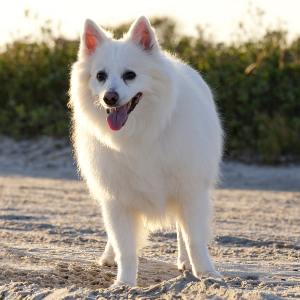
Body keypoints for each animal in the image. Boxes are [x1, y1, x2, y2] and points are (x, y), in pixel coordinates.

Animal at [69, 15, 223, 288]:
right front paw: (124, 284)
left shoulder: (189, 191)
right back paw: (109, 258)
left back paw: (185, 262)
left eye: (130, 75)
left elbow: (194, 239)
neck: (141, 132)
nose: (110, 98)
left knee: (182, 232)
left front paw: (206, 274)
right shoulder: (116, 198)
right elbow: (125, 248)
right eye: (100, 76)